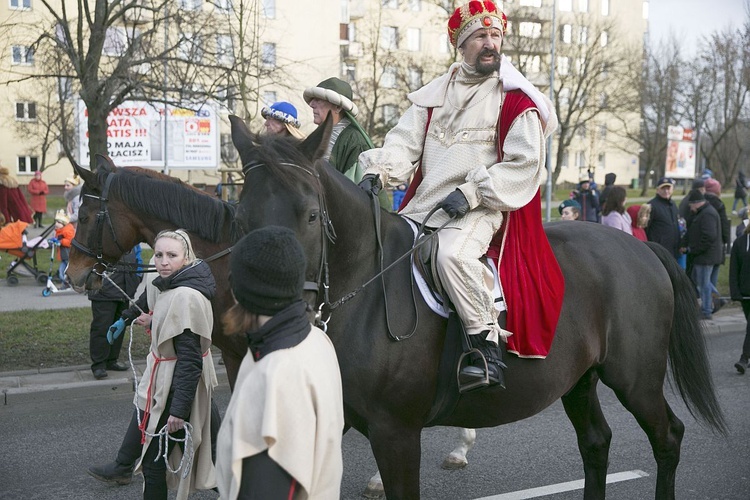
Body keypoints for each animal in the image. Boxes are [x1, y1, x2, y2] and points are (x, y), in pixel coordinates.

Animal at [228, 115, 728, 498]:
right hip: (580, 380)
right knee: (596, 443)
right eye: (241, 218)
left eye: (312, 215)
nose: (272, 315)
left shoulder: (397, 434)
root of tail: (643, 248)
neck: (368, 287)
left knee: (668, 438)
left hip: (636, 379)